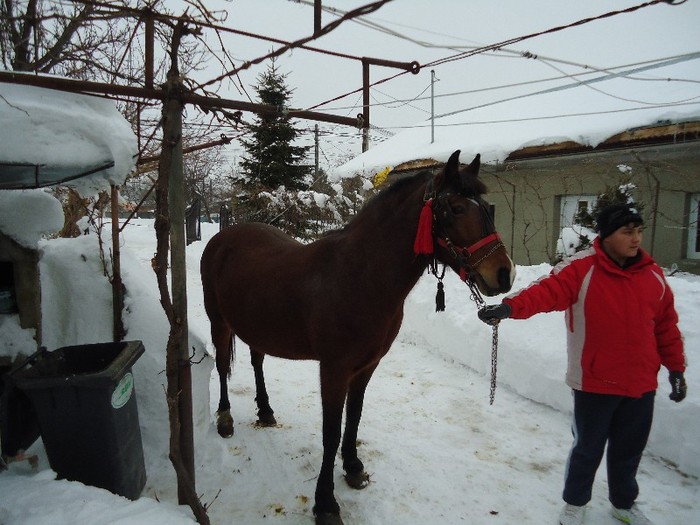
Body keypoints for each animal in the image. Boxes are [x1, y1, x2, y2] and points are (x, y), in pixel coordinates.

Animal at [201, 148, 516, 524]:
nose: (504, 274)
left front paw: (352, 467)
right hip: (219, 321)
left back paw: (265, 410)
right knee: (222, 365)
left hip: (256, 327)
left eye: (486, 208)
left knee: (257, 361)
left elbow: (354, 417)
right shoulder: (334, 370)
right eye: (455, 209)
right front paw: (325, 503)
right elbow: (331, 432)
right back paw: (225, 419)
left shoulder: (366, 367)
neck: (360, 277)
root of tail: (223, 237)